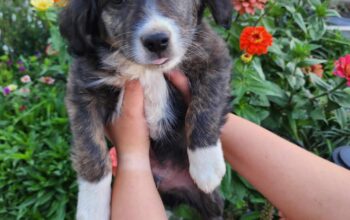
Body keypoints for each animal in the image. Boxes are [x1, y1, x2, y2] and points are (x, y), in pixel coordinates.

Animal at [59, 0, 234, 219]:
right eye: (117, 2)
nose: (157, 41)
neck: (146, 70)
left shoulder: (214, 56)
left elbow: (204, 109)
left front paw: (206, 164)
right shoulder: (81, 92)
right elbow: (90, 148)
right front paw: (92, 207)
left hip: (208, 198)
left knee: (214, 209)